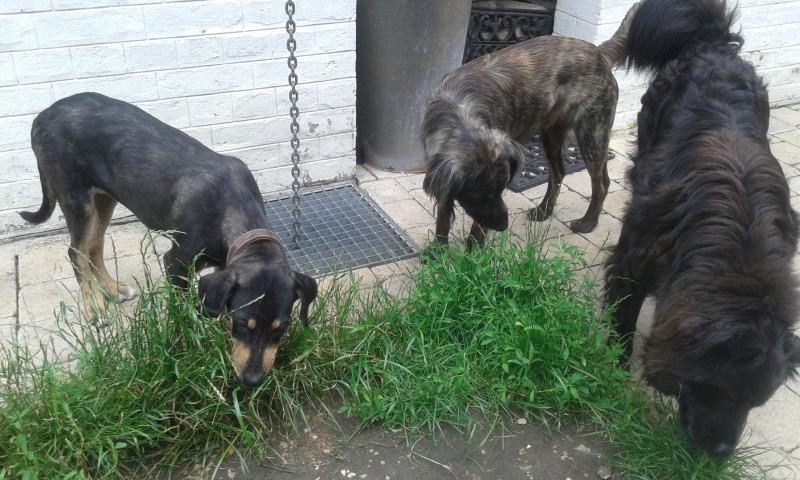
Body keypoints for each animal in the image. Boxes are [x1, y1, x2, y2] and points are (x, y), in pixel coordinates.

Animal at [20, 92, 318, 388]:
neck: (234, 207)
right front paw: (191, 346)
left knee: (94, 247)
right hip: (75, 197)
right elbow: (185, 315)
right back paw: (94, 309)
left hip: (105, 198)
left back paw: (113, 290)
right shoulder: (177, 264)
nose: (253, 381)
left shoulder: (223, 265)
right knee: (76, 252)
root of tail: (41, 116)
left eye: (282, 327)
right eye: (244, 322)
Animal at [422, 0, 640, 248]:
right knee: (558, 173)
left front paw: (472, 255)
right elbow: (443, 215)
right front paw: (437, 252)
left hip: (592, 135)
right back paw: (544, 211)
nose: (503, 226)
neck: (461, 110)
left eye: (502, 189)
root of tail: (599, 52)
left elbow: (476, 229)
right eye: (476, 197)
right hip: (550, 136)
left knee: (601, 182)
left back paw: (588, 223)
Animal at [608, 0, 800, 460]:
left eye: (756, 403)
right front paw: (613, 367)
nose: (722, 454)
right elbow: (624, 315)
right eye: (715, 391)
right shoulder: (633, 259)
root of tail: (714, 45)